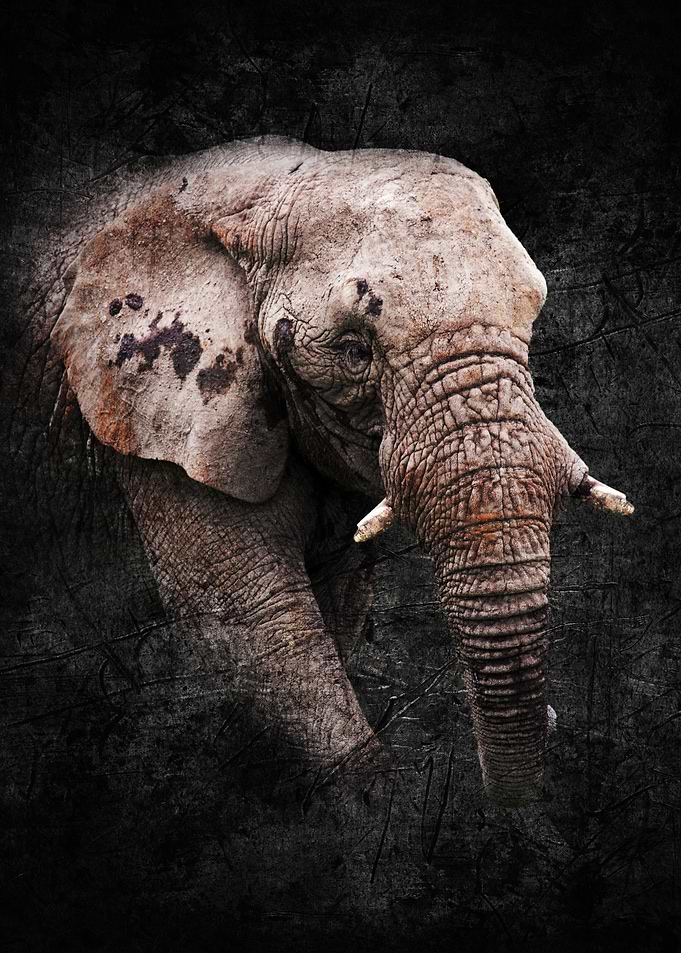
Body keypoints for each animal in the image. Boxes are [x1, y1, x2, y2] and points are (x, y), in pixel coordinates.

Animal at [31, 135, 632, 808]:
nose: (554, 718)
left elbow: (334, 600)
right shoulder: (146, 416)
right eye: (354, 350)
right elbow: (247, 620)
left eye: (531, 322)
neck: (250, 202)